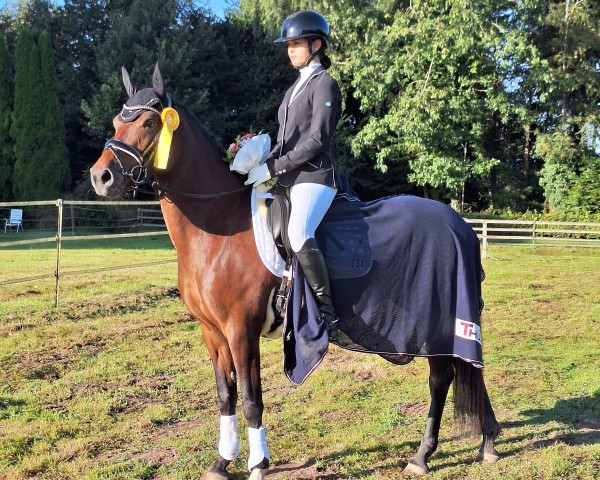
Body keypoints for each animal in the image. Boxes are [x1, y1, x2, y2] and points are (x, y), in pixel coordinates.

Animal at [90, 64, 502, 480]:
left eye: (147, 122)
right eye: (116, 122)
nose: (101, 177)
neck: (219, 227)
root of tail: (460, 225)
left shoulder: (241, 330)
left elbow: (252, 399)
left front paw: (258, 465)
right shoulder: (213, 332)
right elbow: (226, 395)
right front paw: (222, 462)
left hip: (437, 322)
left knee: (441, 378)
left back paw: (424, 455)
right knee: (461, 372)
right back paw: (484, 443)